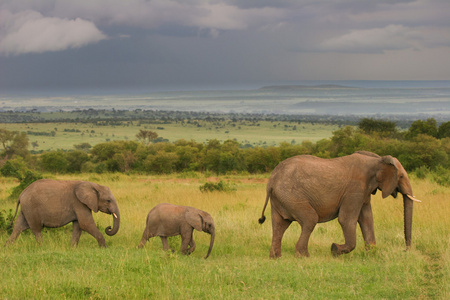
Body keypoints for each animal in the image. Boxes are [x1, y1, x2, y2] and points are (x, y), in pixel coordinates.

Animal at [258, 151, 420, 258]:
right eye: (400, 176)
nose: (406, 250)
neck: (377, 160)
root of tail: (271, 181)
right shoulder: (355, 189)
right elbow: (346, 219)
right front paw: (335, 249)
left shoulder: (364, 191)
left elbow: (367, 219)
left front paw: (371, 254)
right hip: (292, 196)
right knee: (309, 220)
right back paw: (303, 256)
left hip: (280, 198)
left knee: (280, 225)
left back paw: (275, 257)